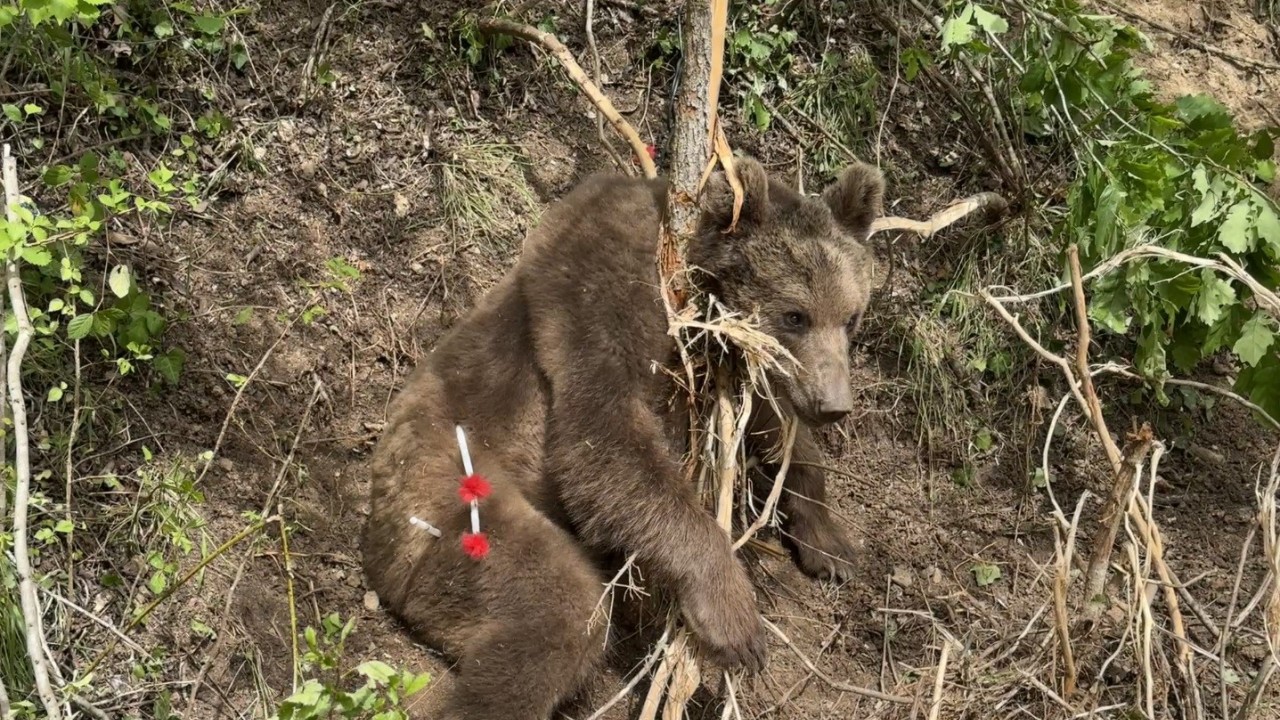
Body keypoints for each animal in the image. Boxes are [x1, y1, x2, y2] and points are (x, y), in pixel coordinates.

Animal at [360, 154, 880, 712]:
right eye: (795, 315)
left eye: (851, 317)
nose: (834, 405)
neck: (690, 282)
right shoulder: (602, 286)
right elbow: (605, 437)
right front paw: (735, 619)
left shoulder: (728, 361)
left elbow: (774, 427)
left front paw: (831, 545)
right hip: (448, 492)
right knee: (559, 610)